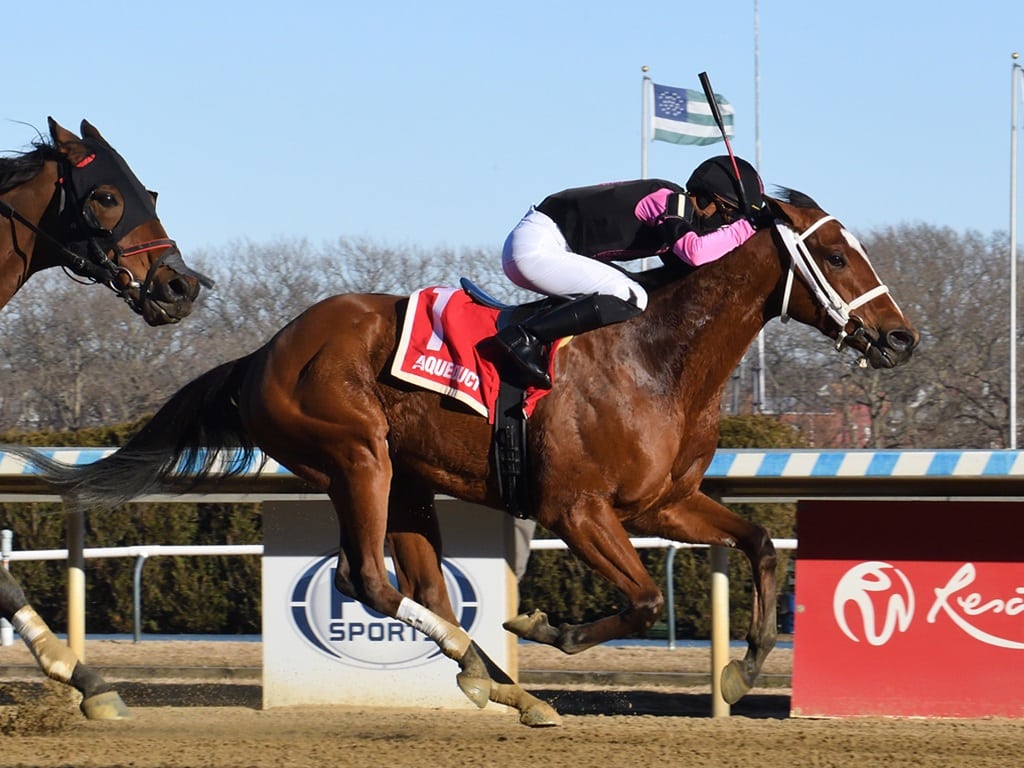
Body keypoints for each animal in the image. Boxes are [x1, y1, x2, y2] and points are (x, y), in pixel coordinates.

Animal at [8, 191, 921, 729]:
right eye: (835, 255)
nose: (902, 338)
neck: (656, 357)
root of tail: (265, 351)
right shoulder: (576, 510)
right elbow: (634, 599)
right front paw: (549, 626)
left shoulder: (661, 502)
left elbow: (761, 546)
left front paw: (740, 674)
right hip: (358, 458)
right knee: (369, 579)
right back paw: (502, 678)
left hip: (408, 483)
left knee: (421, 587)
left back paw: (502, 685)